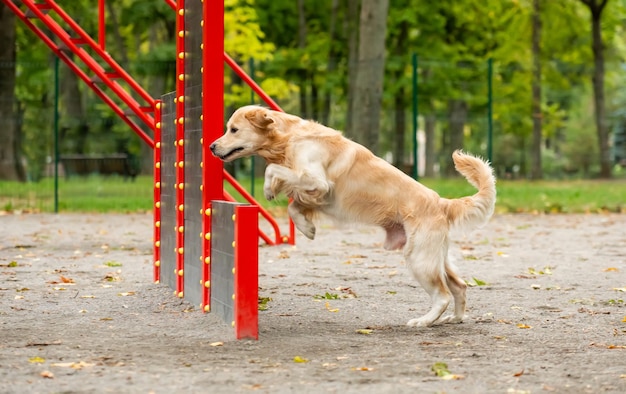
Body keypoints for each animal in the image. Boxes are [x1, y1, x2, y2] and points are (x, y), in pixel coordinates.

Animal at [212, 105, 494, 326]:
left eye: (233, 129)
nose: (213, 146)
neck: (290, 138)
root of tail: (441, 202)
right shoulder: (315, 192)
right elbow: (293, 206)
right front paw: (307, 228)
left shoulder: (318, 181)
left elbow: (272, 169)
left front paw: (269, 189)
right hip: (435, 257)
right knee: (460, 286)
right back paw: (454, 318)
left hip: (419, 259)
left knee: (442, 295)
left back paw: (423, 321)